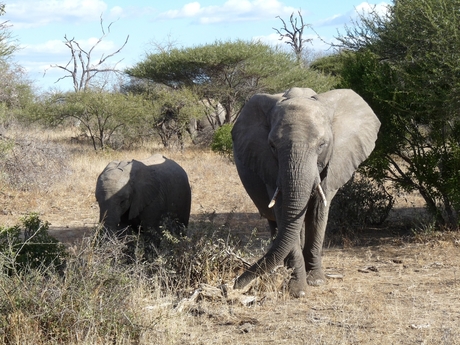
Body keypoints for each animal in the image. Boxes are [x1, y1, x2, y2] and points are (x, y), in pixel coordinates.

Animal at [232, 86, 380, 296]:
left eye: (322, 145)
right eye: (272, 146)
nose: (235, 284)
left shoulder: (332, 164)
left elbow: (318, 212)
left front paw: (316, 281)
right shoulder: (269, 165)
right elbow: (282, 211)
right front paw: (298, 289)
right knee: (276, 223)